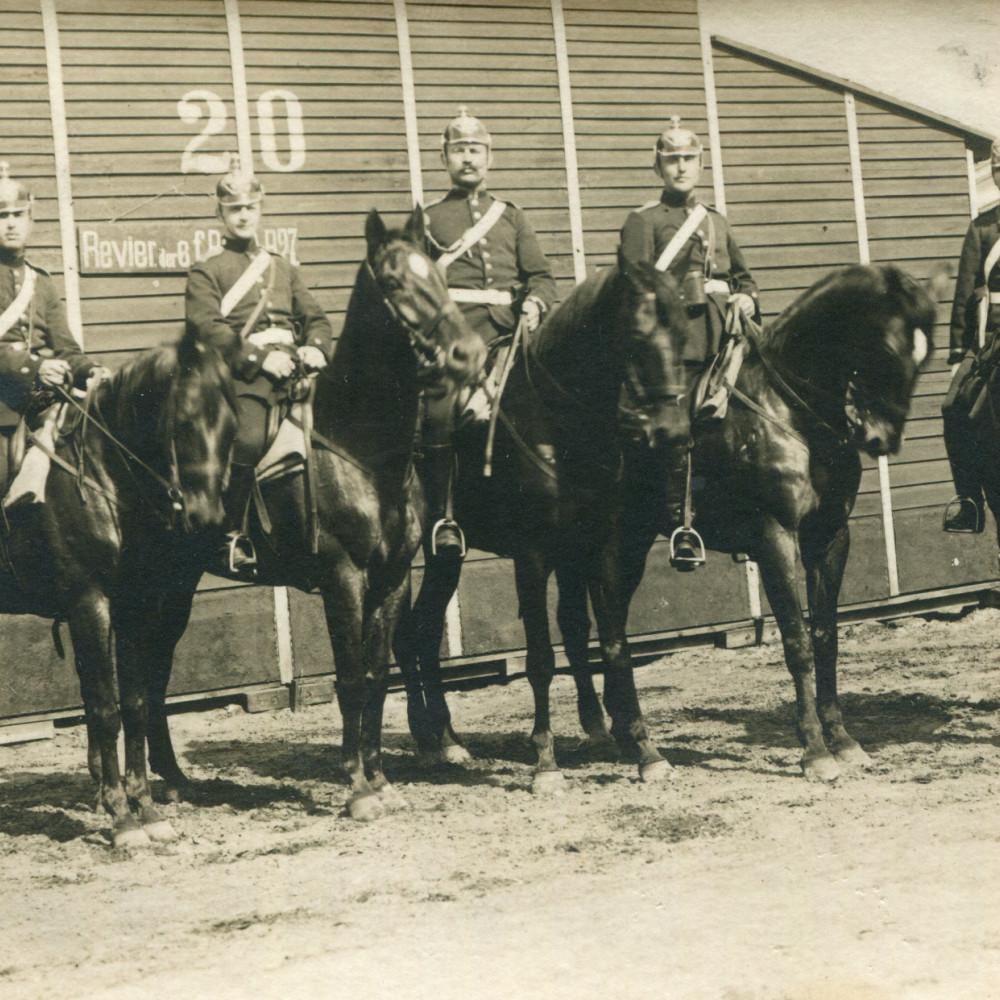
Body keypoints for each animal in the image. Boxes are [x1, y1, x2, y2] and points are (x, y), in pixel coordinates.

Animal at [0, 328, 236, 844]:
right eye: (183, 421)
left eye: (231, 425)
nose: (208, 519)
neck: (105, 480)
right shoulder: (89, 605)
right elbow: (106, 709)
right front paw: (122, 816)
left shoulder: (136, 607)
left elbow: (135, 702)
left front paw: (144, 807)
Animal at [143, 209, 486, 820]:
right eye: (395, 282)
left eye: (442, 277)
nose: (468, 355)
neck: (360, 447)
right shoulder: (343, 577)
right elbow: (349, 677)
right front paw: (358, 788)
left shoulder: (392, 579)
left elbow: (376, 675)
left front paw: (379, 778)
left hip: (178, 582)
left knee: (156, 666)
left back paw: (177, 777)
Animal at [394, 250, 692, 788]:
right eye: (636, 336)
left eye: (683, 334)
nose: (672, 432)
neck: (563, 423)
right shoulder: (532, 555)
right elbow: (540, 658)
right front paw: (546, 761)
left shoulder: (603, 546)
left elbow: (614, 644)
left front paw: (646, 750)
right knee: (407, 635)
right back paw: (427, 741)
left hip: (446, 556)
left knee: (423, 631)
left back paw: (447, 739)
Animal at [564, 264, 936, 780]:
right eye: (885, 348)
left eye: (925, 356)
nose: (881, 438)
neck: (791, 414)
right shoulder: (775, 538)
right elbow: (797, 642)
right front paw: (815, 751)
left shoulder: (830, 537)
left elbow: (826, 637)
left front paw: (842, 740)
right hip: (613, 544)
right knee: (608, 634)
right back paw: (643, 750)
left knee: (603, 622)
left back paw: (621, 736)